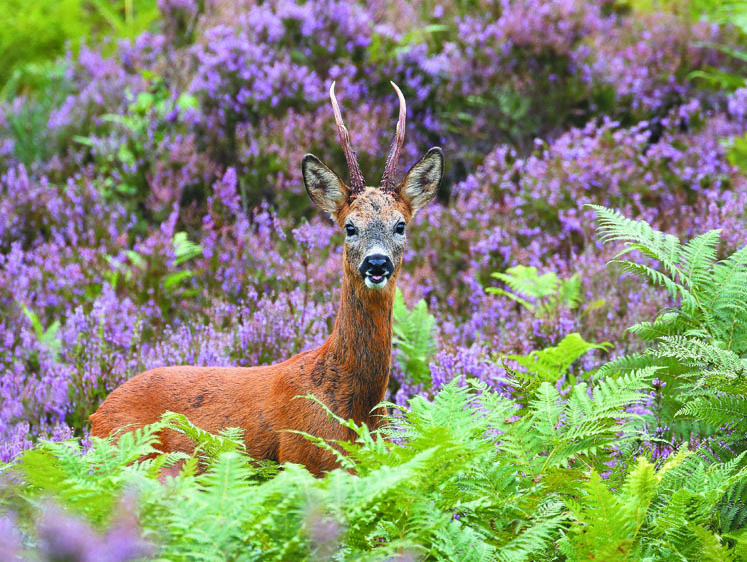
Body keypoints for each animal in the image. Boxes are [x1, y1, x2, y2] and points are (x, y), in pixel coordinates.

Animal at [92, 82, 444, 472]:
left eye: (400, 225)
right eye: (350, 227)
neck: (351, 408)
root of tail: (95, 415)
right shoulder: (299, 457)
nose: (377, 263)